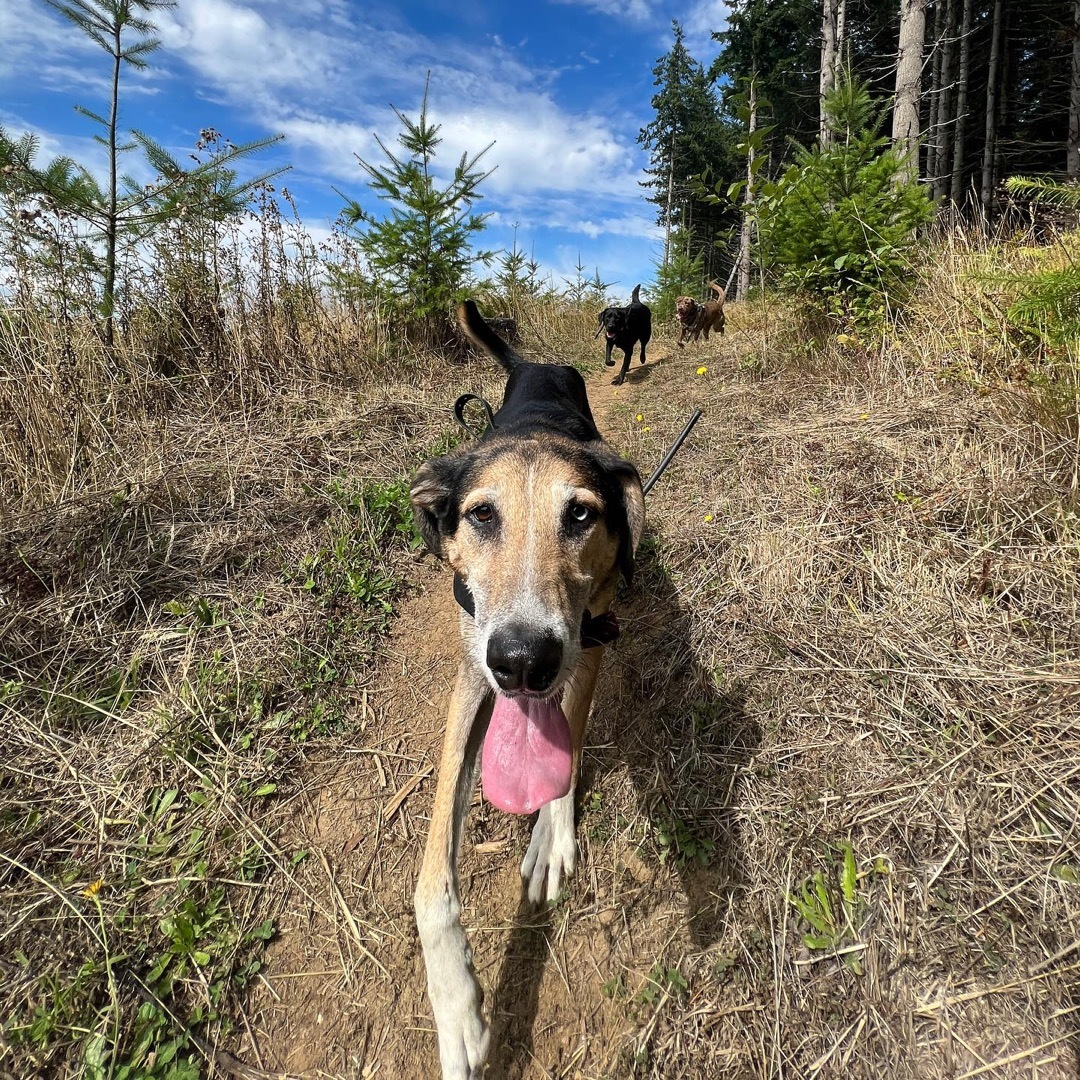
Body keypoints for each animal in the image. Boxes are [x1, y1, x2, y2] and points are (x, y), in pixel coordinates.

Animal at [406, 300, 639, 1075]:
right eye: (482, 515)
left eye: (581, 514)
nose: (523, 659)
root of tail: (535, 363)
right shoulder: (470, 674)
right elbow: (430, 877)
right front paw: (455, 1007)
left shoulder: (591, 640)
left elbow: (567, 745)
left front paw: (549, 835)